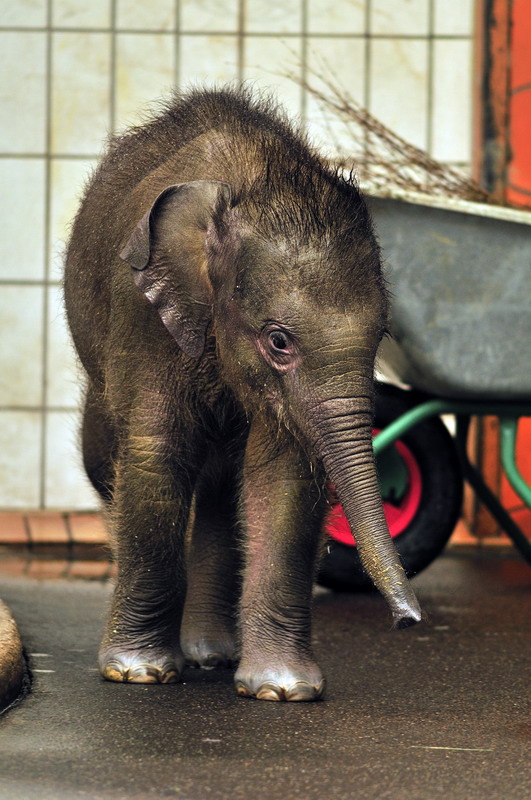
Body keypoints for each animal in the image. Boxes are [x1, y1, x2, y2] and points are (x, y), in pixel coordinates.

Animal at [64, 87, 421, 702]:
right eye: (278, 340)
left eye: (381, 337)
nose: (407, 621)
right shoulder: (144, 314)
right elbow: (157, 454)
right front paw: (138, 673)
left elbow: (285, 474)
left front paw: (282, 690)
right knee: (106, 460)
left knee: (218, 489)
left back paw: (212, 654)